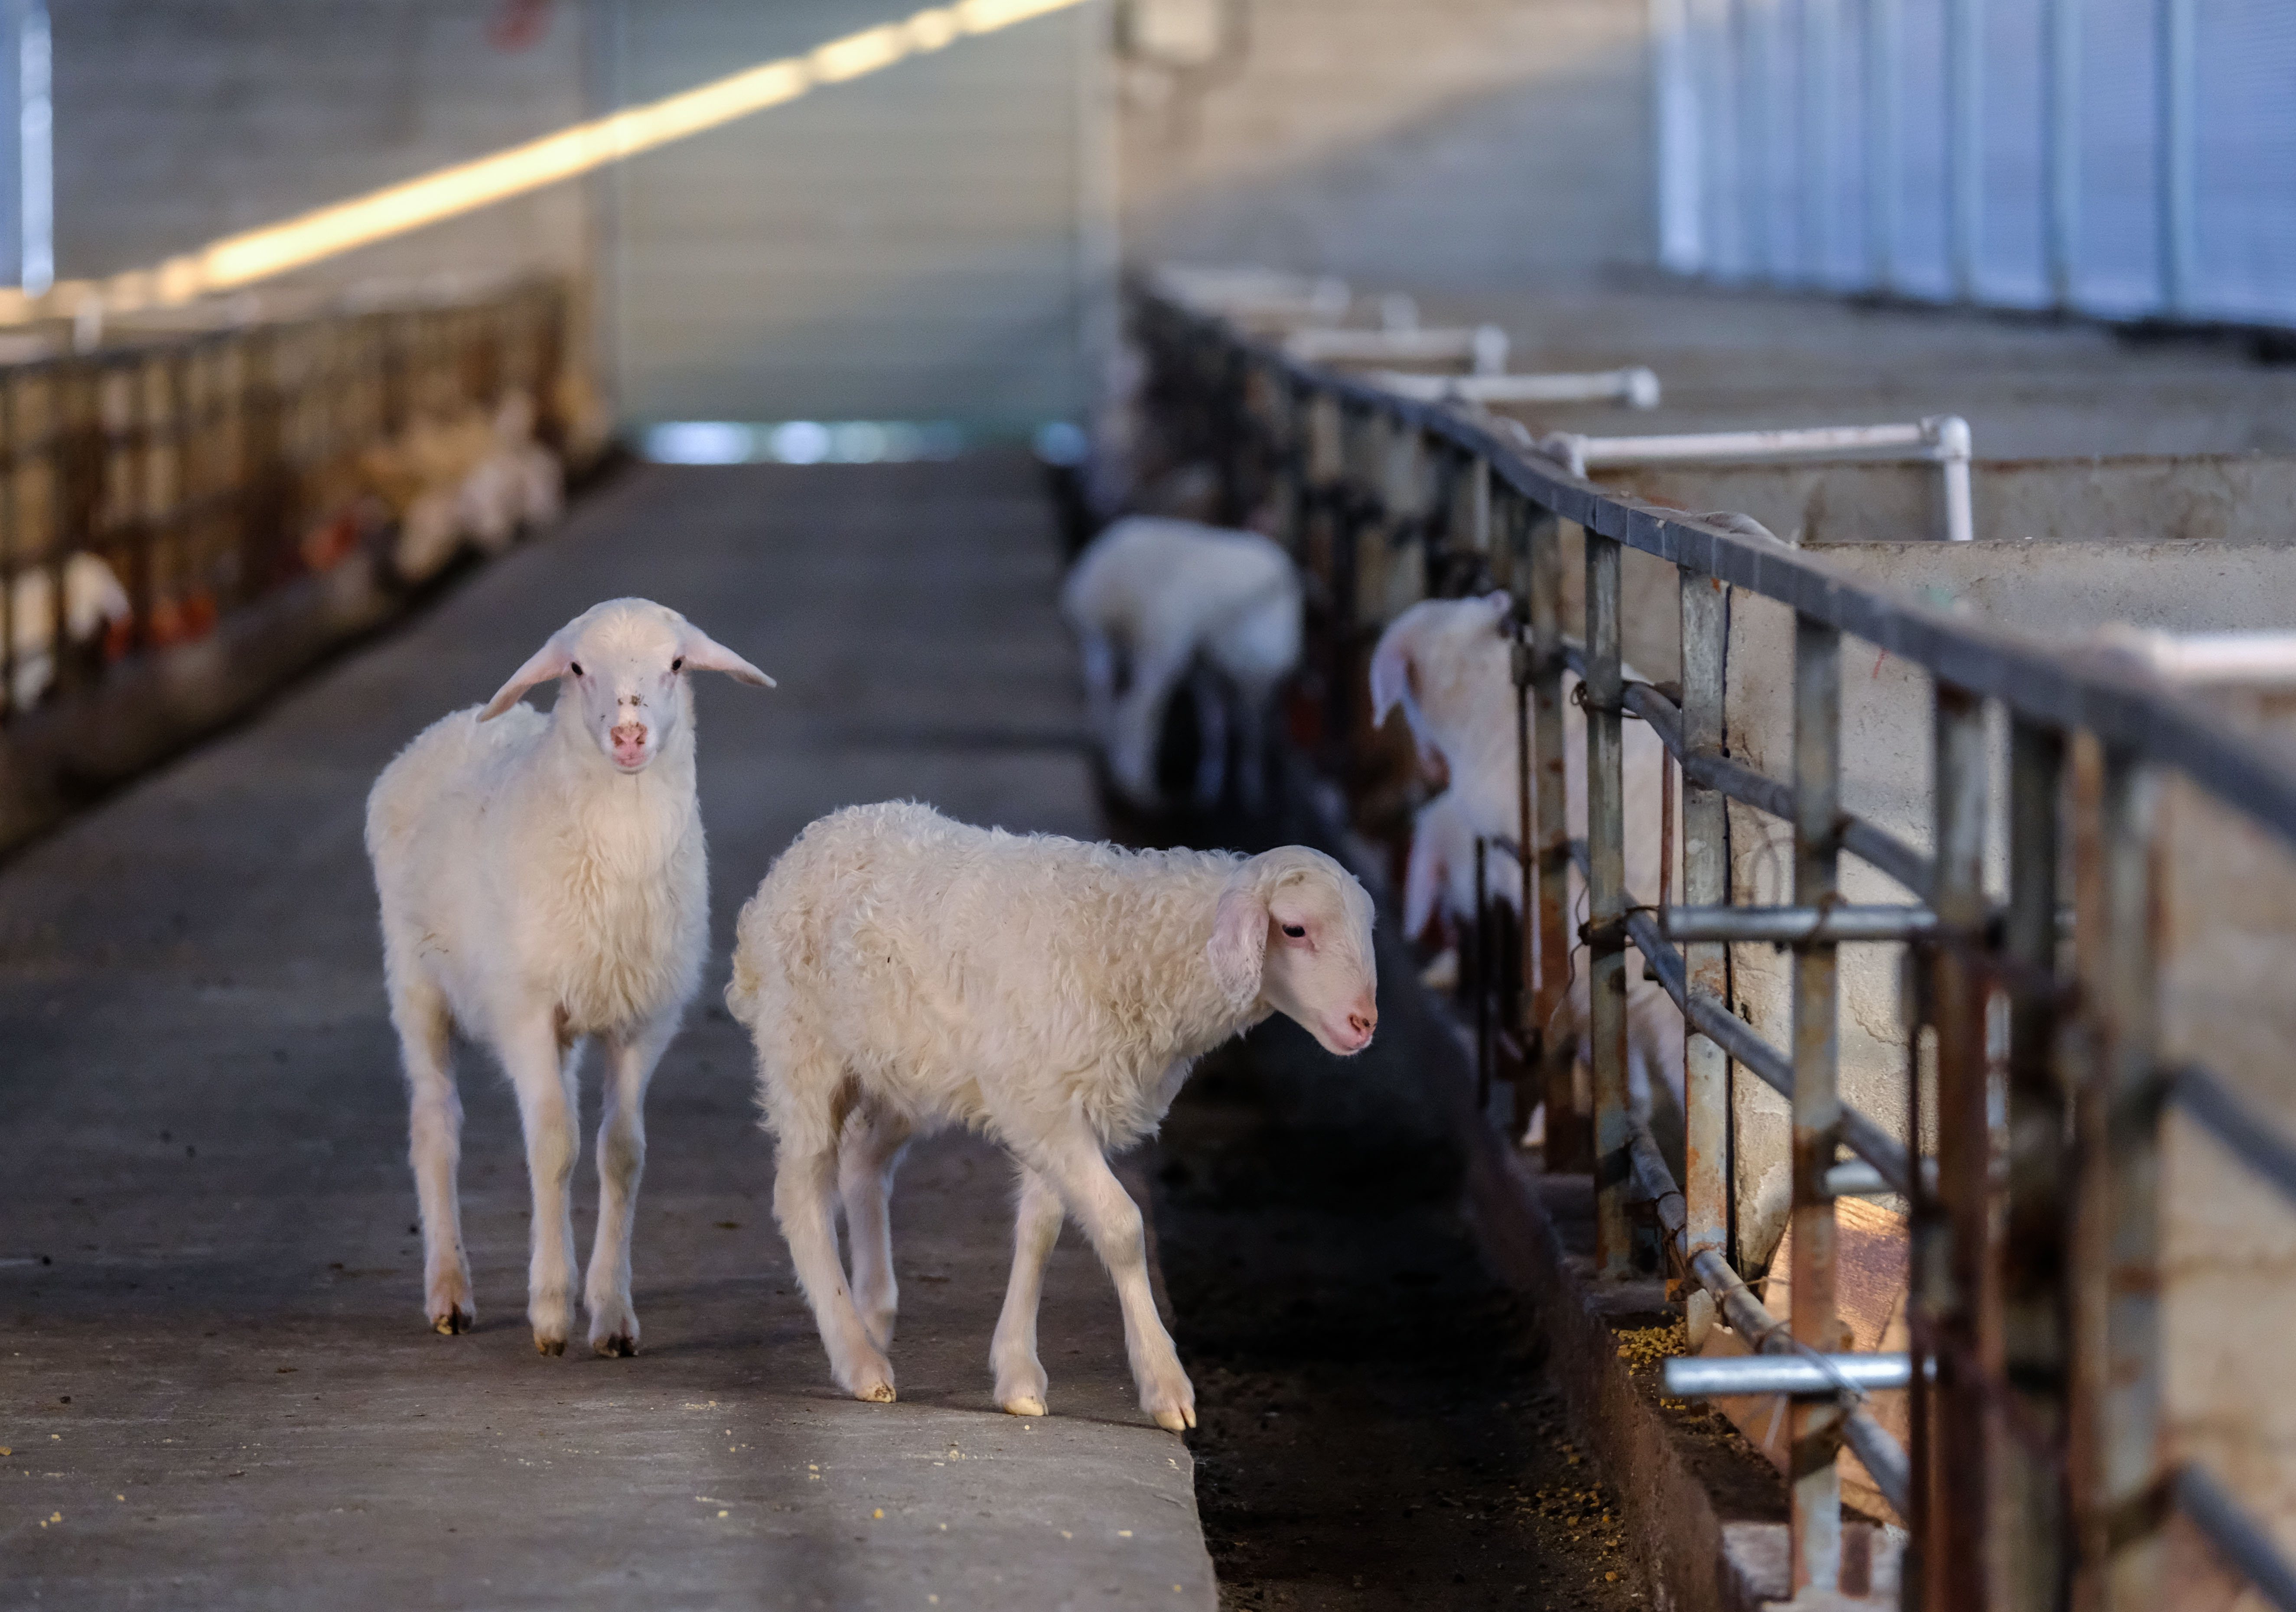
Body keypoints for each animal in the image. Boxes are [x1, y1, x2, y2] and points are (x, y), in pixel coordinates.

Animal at [367, 601, 776, 1359]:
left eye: (677, 663)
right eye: (579, 668)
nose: (629, 735)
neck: (618, 851)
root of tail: (456, 721)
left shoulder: (642, 1020)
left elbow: (621, 1153)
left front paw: (611, 1313)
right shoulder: (526, 1009)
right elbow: (555, 1146)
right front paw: (552, 1312)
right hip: (415, 981)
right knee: (436, 1122)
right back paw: (449, 1293)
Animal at [725, 808, 1368, 1442]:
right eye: (1294, 930)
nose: (1364, 1023)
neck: (1133, 939)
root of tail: (814, 839)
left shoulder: (1054, 1104)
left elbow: (1039, 1229)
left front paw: (1017, 1377)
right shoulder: (1043, 1107)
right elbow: (1121, 1227)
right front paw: (1165, 1385)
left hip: (899, 1069)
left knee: (863, 1160)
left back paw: (873, 1315)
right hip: (803, 1052)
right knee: (801, 1193)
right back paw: (859, 1360)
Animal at [1061, 519, 1304, 822]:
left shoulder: (1214, 672)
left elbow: (1218, 725)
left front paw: (1212, 785)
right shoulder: (1248, 679)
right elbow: (1250, 733)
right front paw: (1250, 791)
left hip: (1099, 638)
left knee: (1103, 691)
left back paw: (1108, 749)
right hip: (1164, 640)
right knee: (1141, 707)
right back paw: (1140, 785)